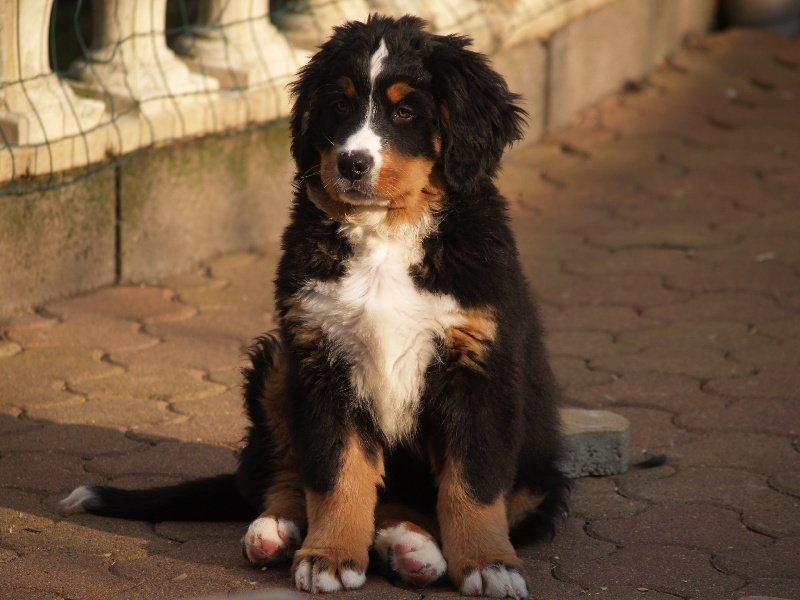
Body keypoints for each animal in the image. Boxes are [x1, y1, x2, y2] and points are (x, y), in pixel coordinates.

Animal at [61, 15, 568, 599]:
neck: (386, 231)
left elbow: (473, 484)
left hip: (537, 471)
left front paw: (489, 564)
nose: (351, 163)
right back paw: (280, 530)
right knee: (283, 472)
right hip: (278, 364)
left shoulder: (479, 365)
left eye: (404, 112)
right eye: (340, 105)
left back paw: (411, 548)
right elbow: (335, 474)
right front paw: (328, 556)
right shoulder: (319, 355)